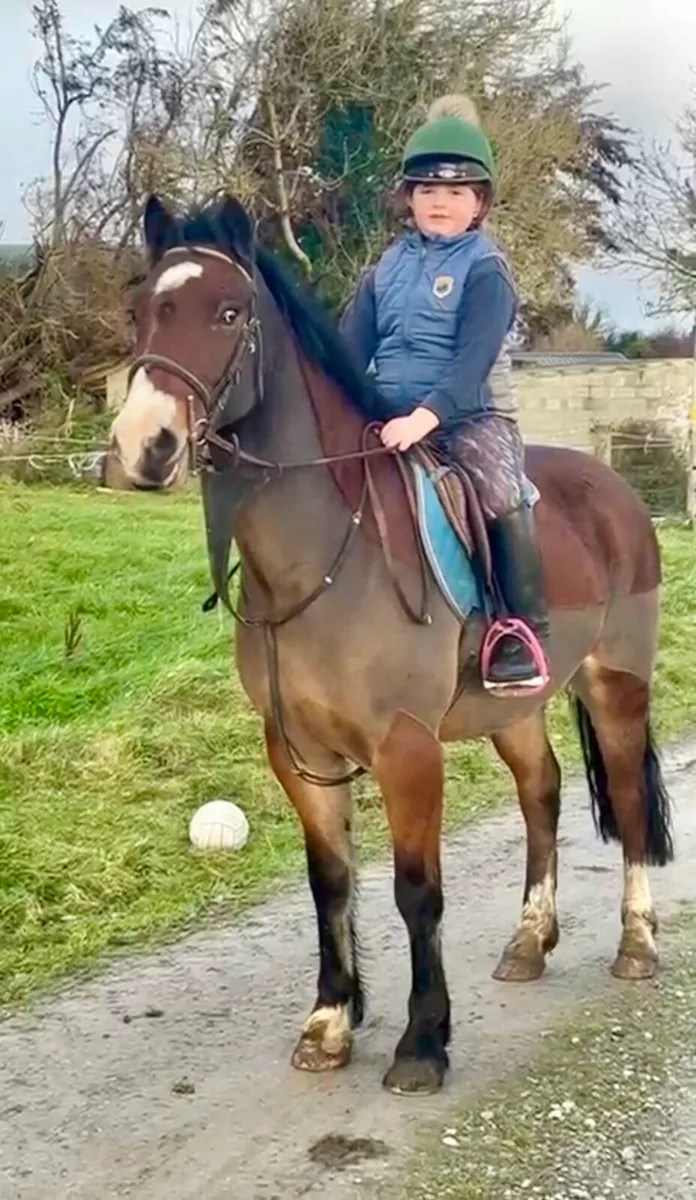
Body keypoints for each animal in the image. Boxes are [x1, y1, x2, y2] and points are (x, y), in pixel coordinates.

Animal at [102, 192, 673, 1096]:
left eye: (228, 313)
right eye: (143, 311)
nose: (142, 447)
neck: (326, 559)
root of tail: (617, 489)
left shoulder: (407, 749)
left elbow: (417, 891)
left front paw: (422, 1044)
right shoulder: (297, 752)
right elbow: (330, 884)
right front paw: (330, 1023)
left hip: (617, 685)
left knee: (622, 797)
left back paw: (638, 944)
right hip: (515, 709)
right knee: (541, 794)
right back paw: (528, 941)